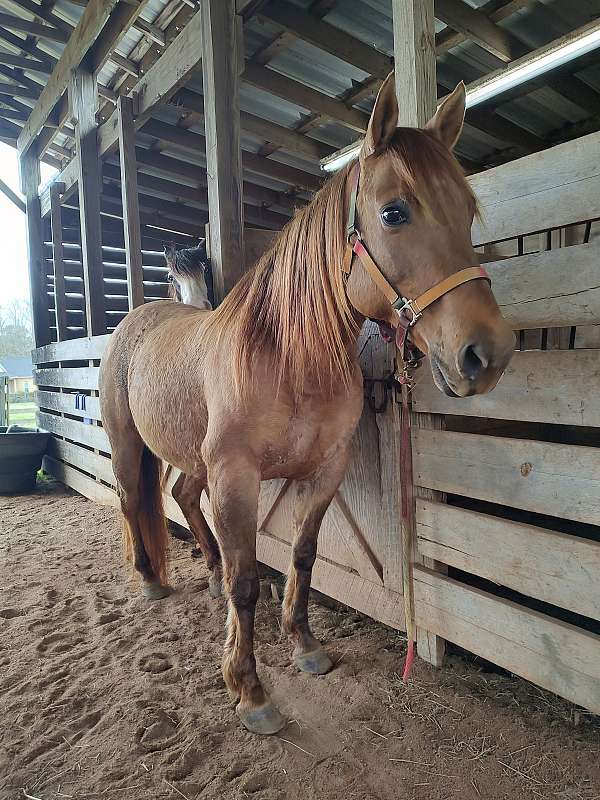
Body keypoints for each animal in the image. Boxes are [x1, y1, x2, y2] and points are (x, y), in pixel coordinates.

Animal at [99, 72, 515, 735]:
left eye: (468, 212)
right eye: (393, 212)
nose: (488, 354)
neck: (287, 359)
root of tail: (137, 318)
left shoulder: (323, 472)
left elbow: (302, 556)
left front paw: (304, 646)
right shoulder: (236, 478)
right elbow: (248, 580)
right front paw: (249, 690)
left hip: (192, 457)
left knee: (182, 496)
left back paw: (206, 575)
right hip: (128, 445)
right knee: (132, 499)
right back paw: (148, 580)